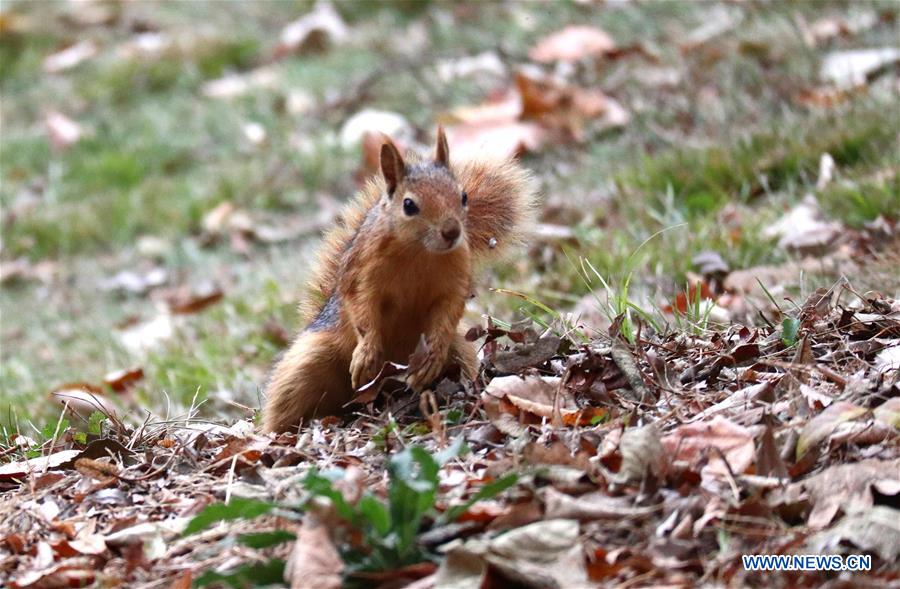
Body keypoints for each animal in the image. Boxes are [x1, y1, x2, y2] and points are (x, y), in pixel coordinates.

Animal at [262, 127, 537, 433]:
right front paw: (367, 353)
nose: (452, 232)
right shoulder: (360, 275)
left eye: (464, 196)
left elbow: (449, 311)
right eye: (409, 205)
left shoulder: (454, 281)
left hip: (458, 352)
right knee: (287, 406)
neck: (419, 252)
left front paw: (432, 356)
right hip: (307, 365)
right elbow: (361, 308)